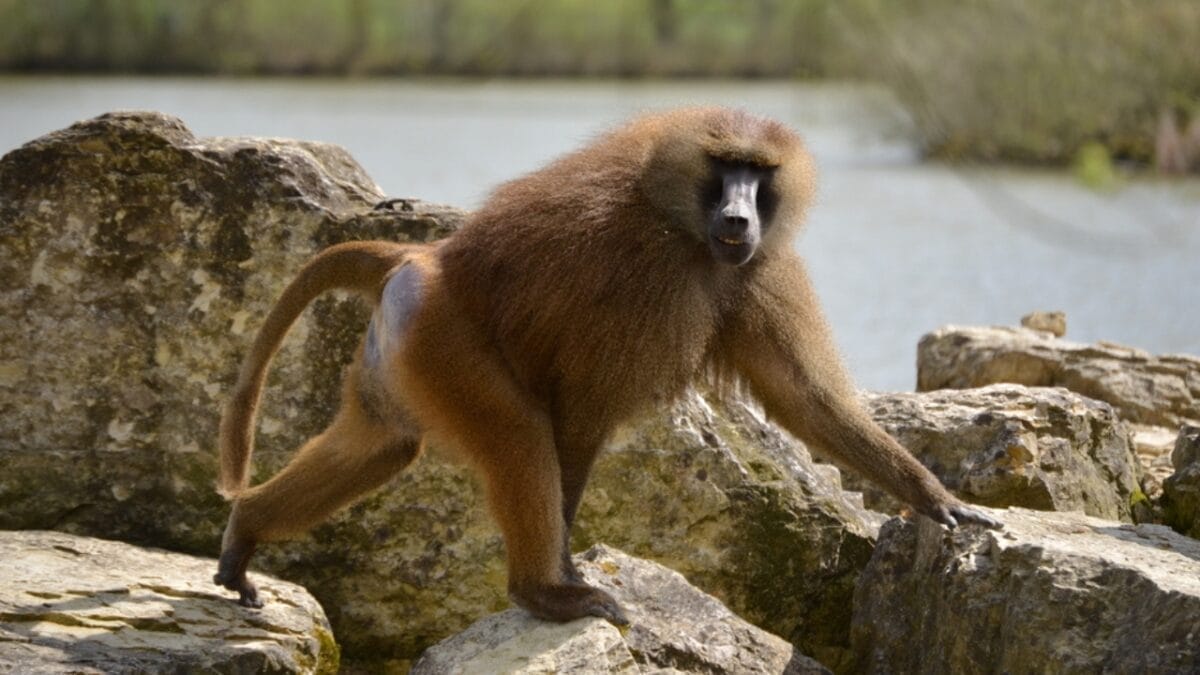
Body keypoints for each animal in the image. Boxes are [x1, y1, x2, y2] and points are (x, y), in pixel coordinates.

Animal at [214, 107, 1000, 623]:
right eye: (725, 168)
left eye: (758, 173)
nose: (740, 218)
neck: (677, 218)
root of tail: (424, 258)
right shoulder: (645, 286)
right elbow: (580, 413)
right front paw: (563, 569)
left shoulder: (755, 272)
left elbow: (808, 400)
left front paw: (936, 498)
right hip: (446, 340)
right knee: (518, 436)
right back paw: (540, 592)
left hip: (402, 351)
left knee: (382, 446)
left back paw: (246, 531)